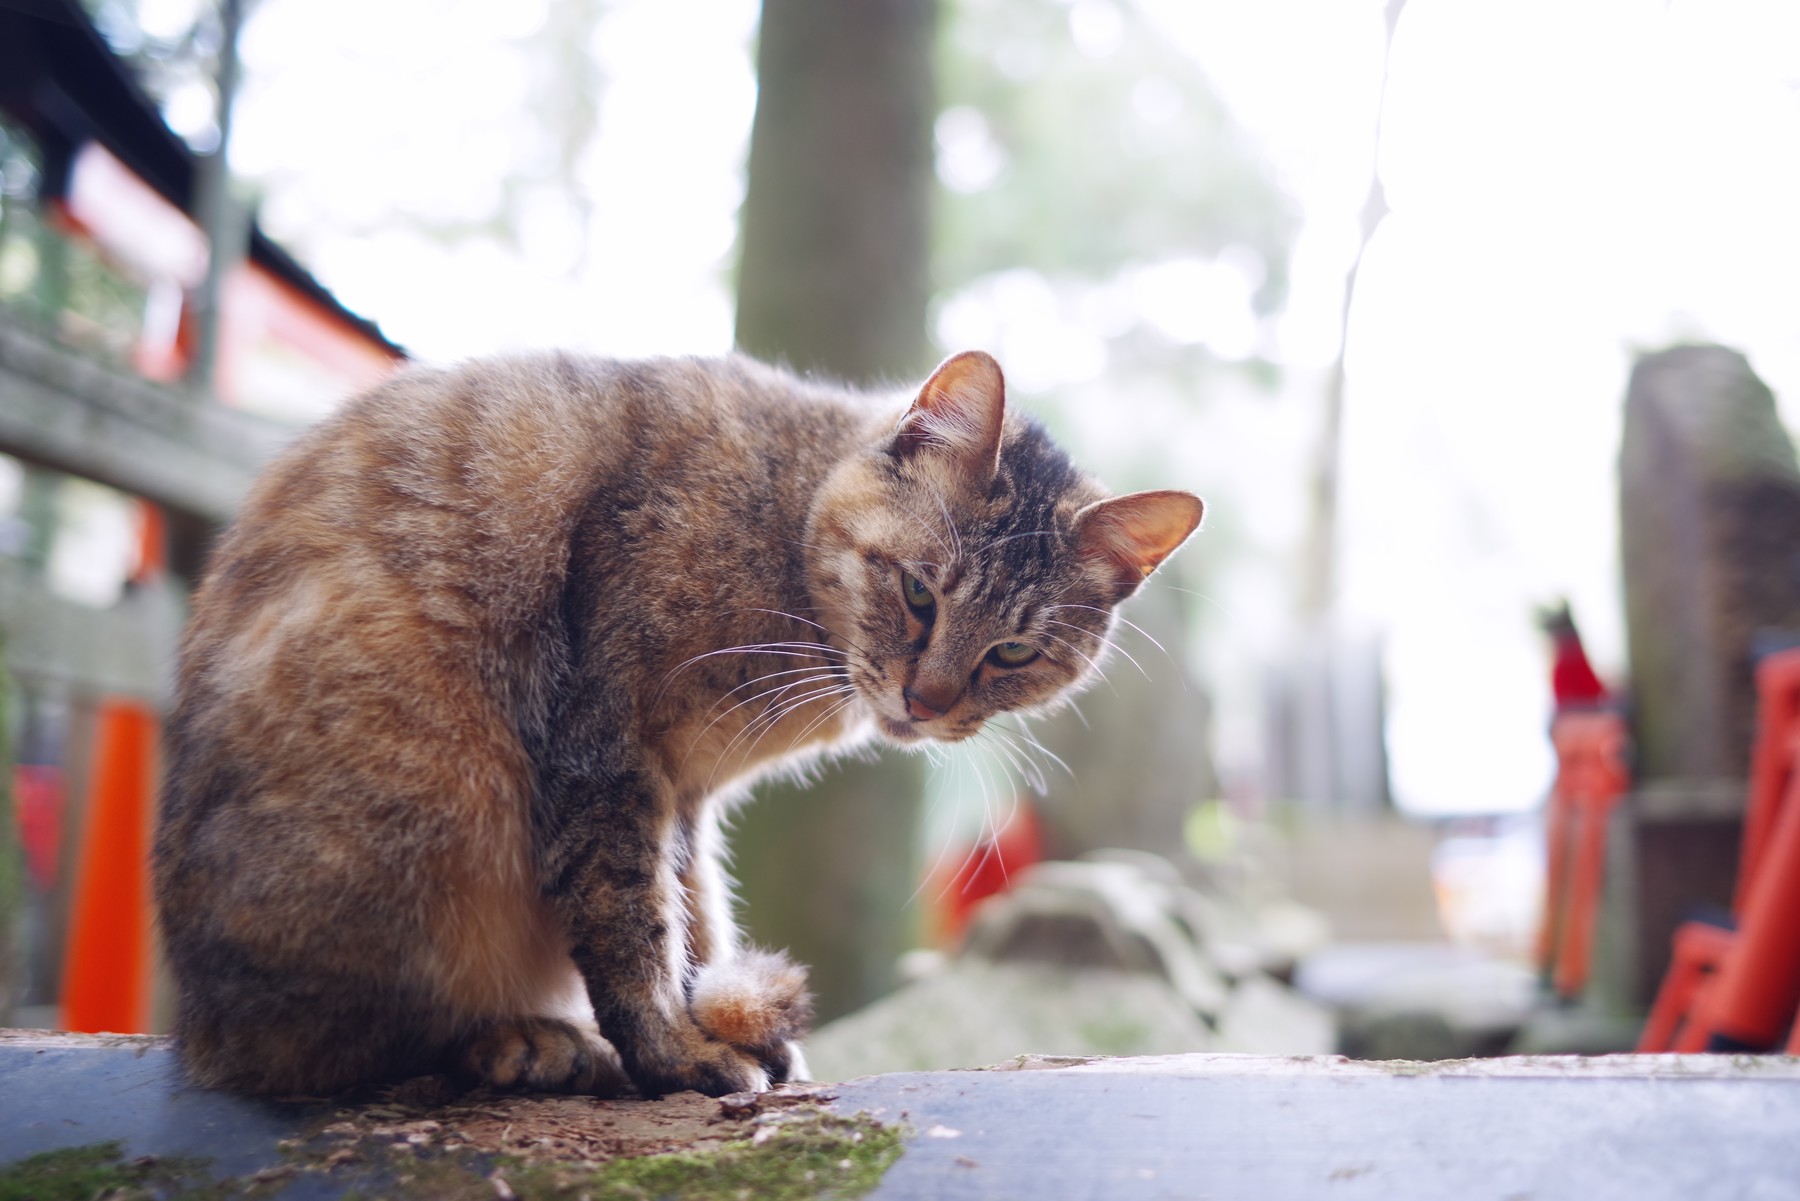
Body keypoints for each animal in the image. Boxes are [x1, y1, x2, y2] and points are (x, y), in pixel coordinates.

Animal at [151, 345, 1195, 1101]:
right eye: (917, 593)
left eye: (1014, 652)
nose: (927, 703)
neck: (782, 518)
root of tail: (198, 1035)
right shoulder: (607, 749)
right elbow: (631, 922)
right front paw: (674, 1053)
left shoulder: (682, 798)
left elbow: (696, 919)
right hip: (428, 802)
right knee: (337, 1055)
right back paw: (535, 1043)